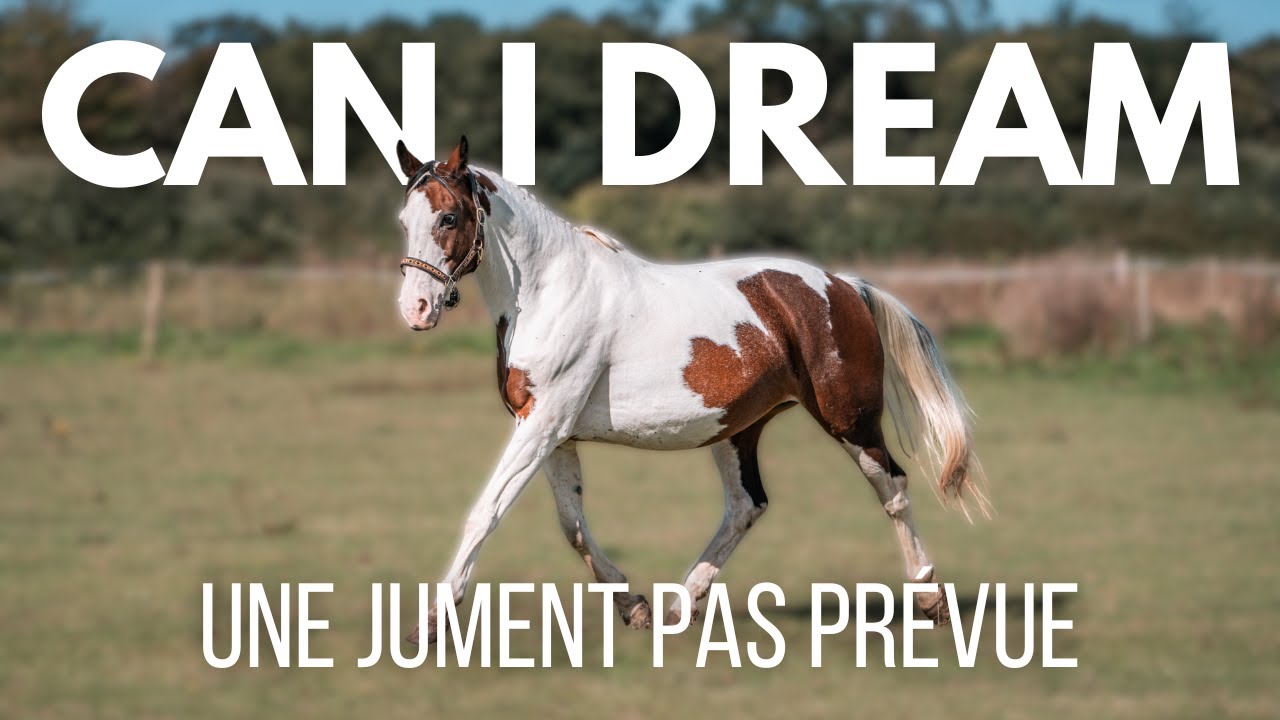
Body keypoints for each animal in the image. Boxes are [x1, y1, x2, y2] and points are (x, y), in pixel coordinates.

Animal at [394, 136, 987, 644]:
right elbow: (573, 525)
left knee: (893, 487)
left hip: (849, 419)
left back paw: (931, 599)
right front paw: (633, 606)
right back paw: (680, 608)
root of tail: (844, 285)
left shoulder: (544, 424)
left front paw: (429, 625)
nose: (415, 310)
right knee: (747, 505)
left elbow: (486, 511)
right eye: (404, 220)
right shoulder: (554, 433)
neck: (547, 292)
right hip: (737, 429)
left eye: (449, 217)